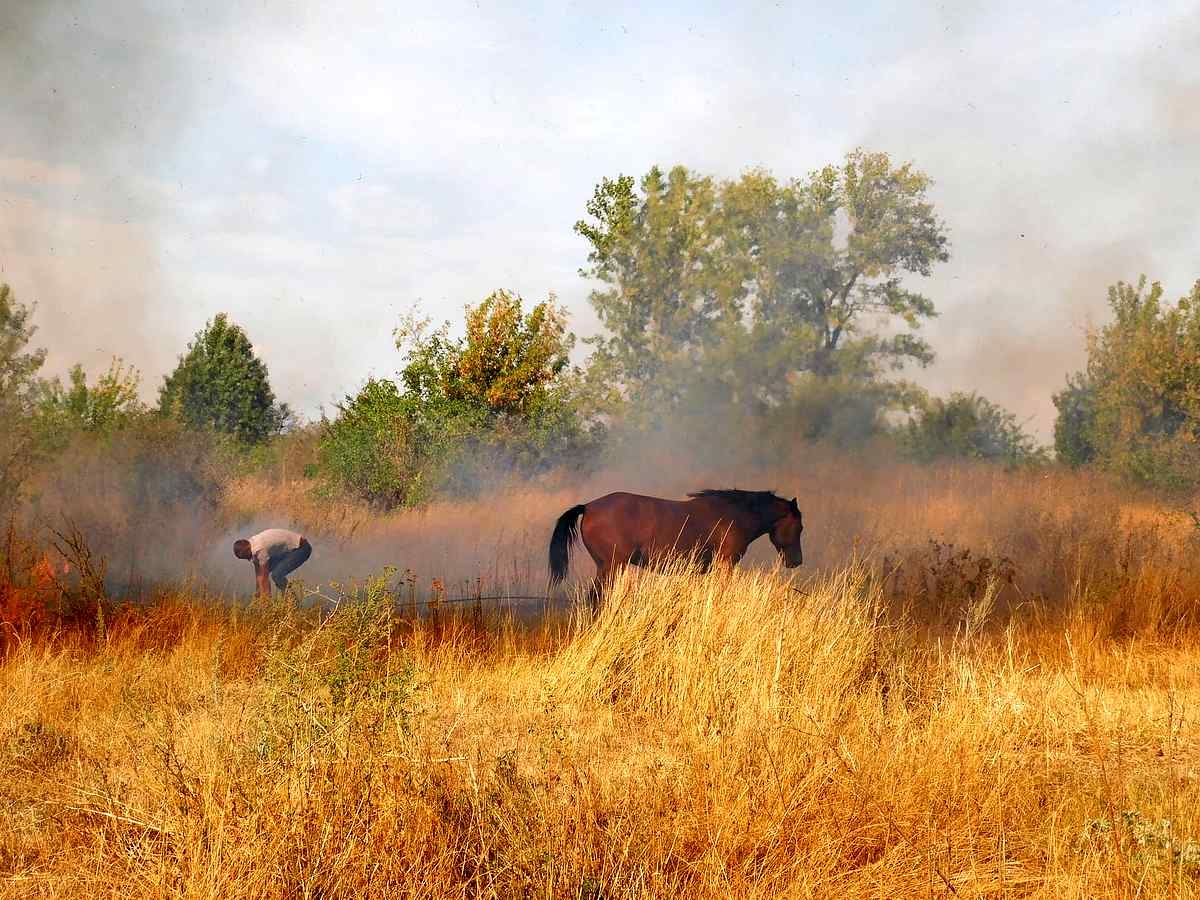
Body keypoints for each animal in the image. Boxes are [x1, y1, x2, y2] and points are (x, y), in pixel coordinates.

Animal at [549, 489, 801, 609]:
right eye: (799, 527)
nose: (796, 561)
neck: (735, 514)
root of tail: (588, 507)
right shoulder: (725, 564)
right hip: (610, 567)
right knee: (596, 597)